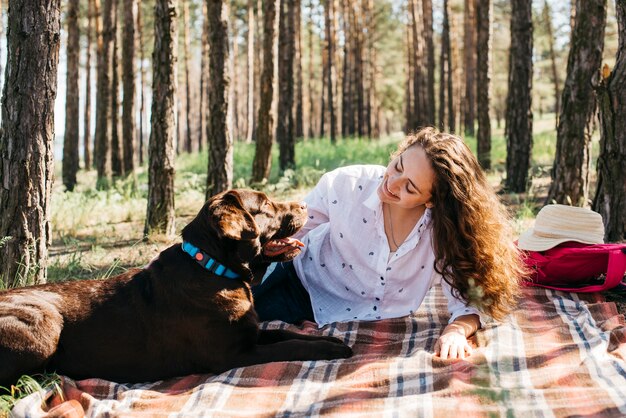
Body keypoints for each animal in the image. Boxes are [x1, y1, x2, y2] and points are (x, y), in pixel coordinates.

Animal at [0, 189, 352, 386]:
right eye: (265, 206)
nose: (304, 206)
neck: (213, 269)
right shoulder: (234, 353)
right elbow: (290, 346)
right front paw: (331, 350)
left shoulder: (249, 333)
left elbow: (285, 332)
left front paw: (330, 339)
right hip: (44, 325)